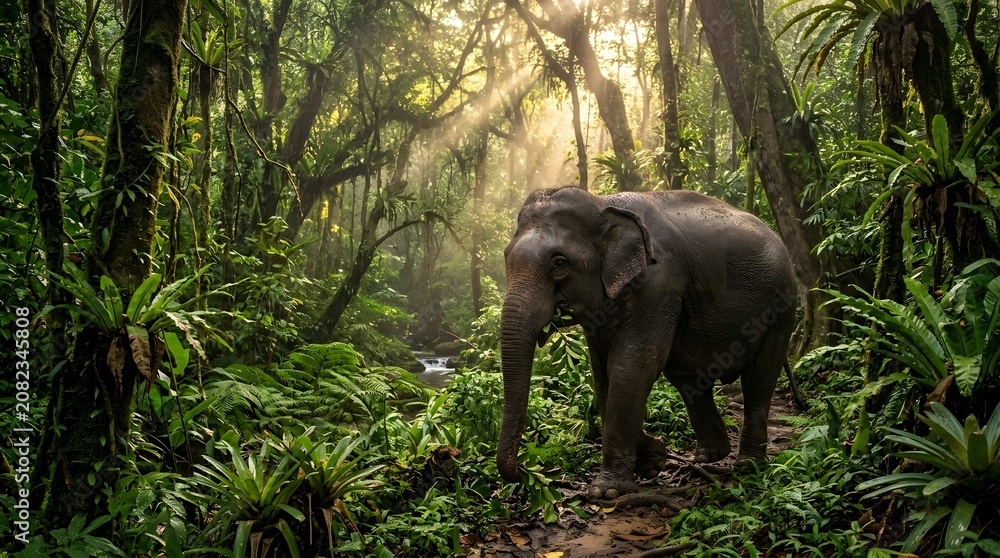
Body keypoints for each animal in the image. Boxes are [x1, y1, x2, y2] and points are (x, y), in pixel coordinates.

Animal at [496, 187, 797, 499]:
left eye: (559, 264)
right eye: (505, 257)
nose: (524, 473)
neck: (602, 204)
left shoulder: (659, 283)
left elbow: (632, 367)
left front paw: (606, 491)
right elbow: (603, 375)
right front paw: (653, 460)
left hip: (781, 306)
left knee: (759, 378)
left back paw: (748, 465)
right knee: (688, 380)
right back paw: (710, 456)